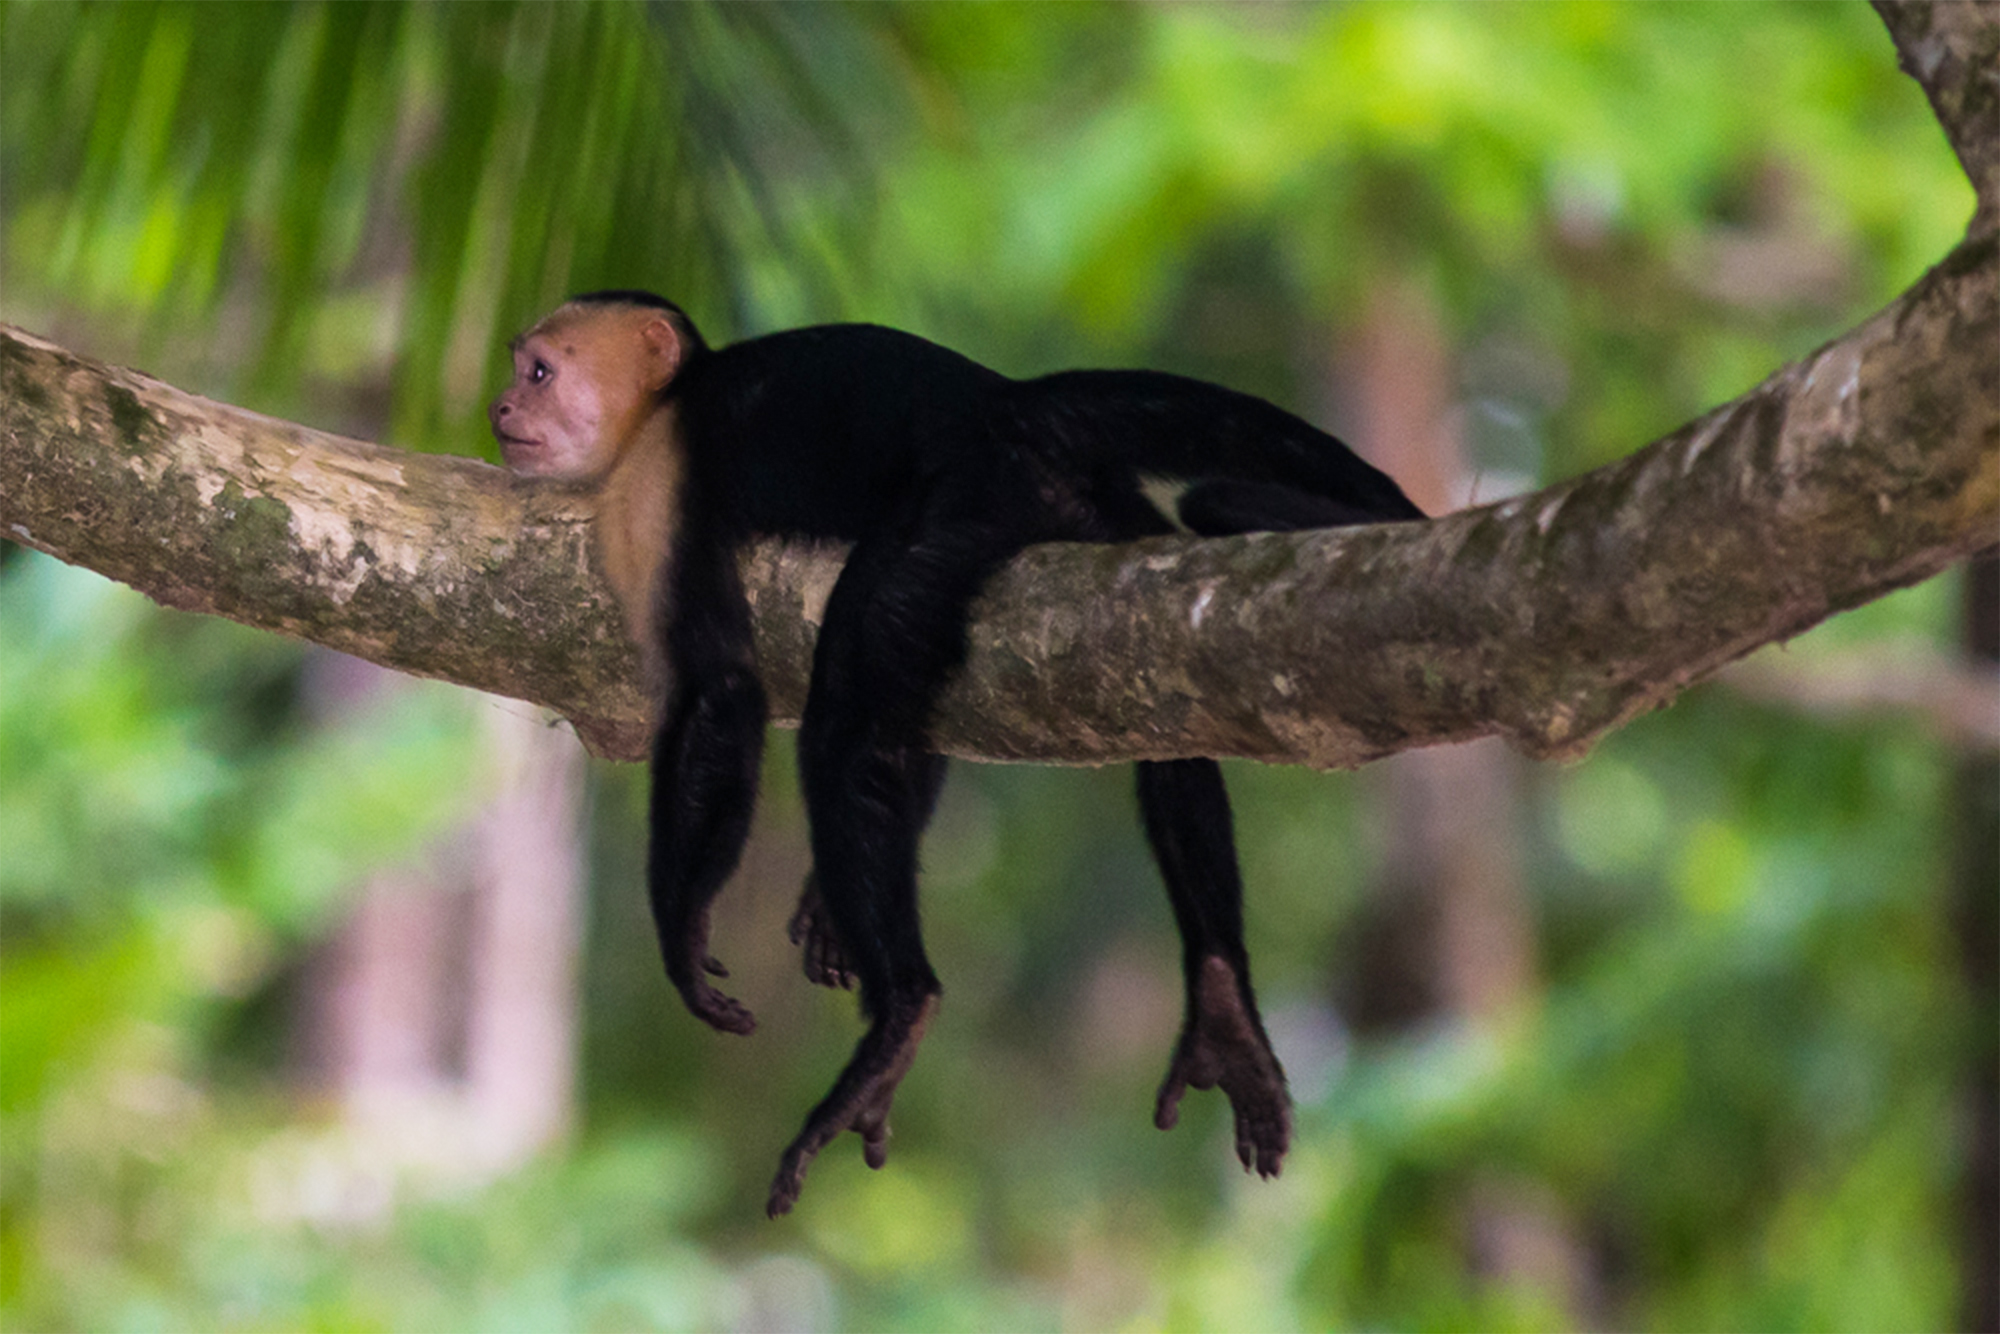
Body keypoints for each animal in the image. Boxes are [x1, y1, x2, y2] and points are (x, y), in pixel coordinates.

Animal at [489, 290, 1424, 1217]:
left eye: (539, 373)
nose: (499, 410)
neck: (669, 402)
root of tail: (1003, 402)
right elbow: (913, 728)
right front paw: (824, 906)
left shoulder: (655, 485)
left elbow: (723, 691)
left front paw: (683, 932)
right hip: (1082, 511)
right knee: (1160, 713)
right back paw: (1223, 991)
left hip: (968, 493)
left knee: (846, 707)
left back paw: (904, 1011)